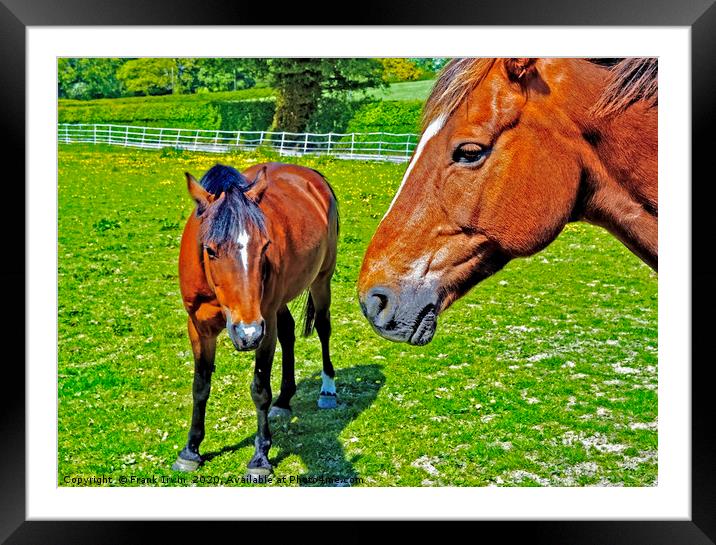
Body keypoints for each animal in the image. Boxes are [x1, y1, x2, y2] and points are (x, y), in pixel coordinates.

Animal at [175, 163, 340, 476]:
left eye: (264, 246)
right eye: (210, 249)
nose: (247, 334)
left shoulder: (264, 327)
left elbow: (260, 389)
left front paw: (260, 457)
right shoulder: (198, 327)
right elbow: (200, 386)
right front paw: (191, 450)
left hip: (320, 280)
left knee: (323, 328)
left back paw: (328, 391)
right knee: (288, 332)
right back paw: (285, 400)